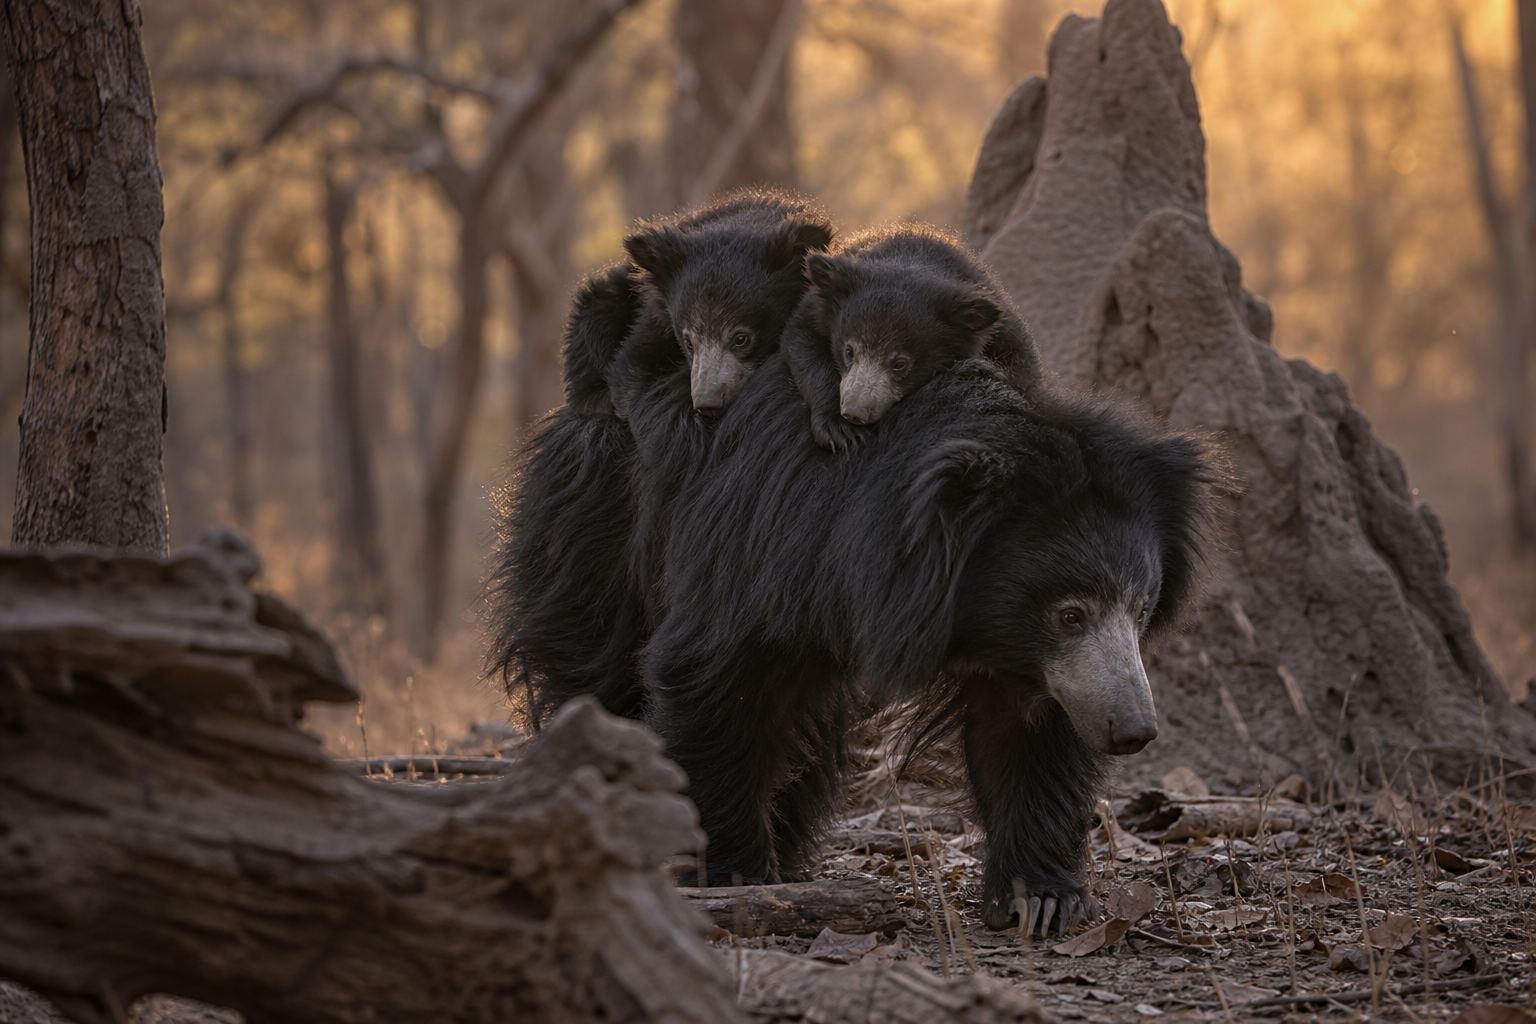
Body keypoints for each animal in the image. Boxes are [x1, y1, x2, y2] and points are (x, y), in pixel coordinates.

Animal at [624, 353, 1209, 934]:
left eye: (1141, 609)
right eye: (1070, 615)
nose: (1133, 730)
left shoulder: (1037, 667)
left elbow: (1029, 736)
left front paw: (1042, 900)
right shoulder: (763, 535)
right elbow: (719, 680)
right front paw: (736, 879)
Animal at [783, 225, 1043, 452]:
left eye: (899, 364)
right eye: (849, 352)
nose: (854, 412)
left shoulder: (1006, 338)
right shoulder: (812, 311)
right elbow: (802, 344)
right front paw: (840, 432)